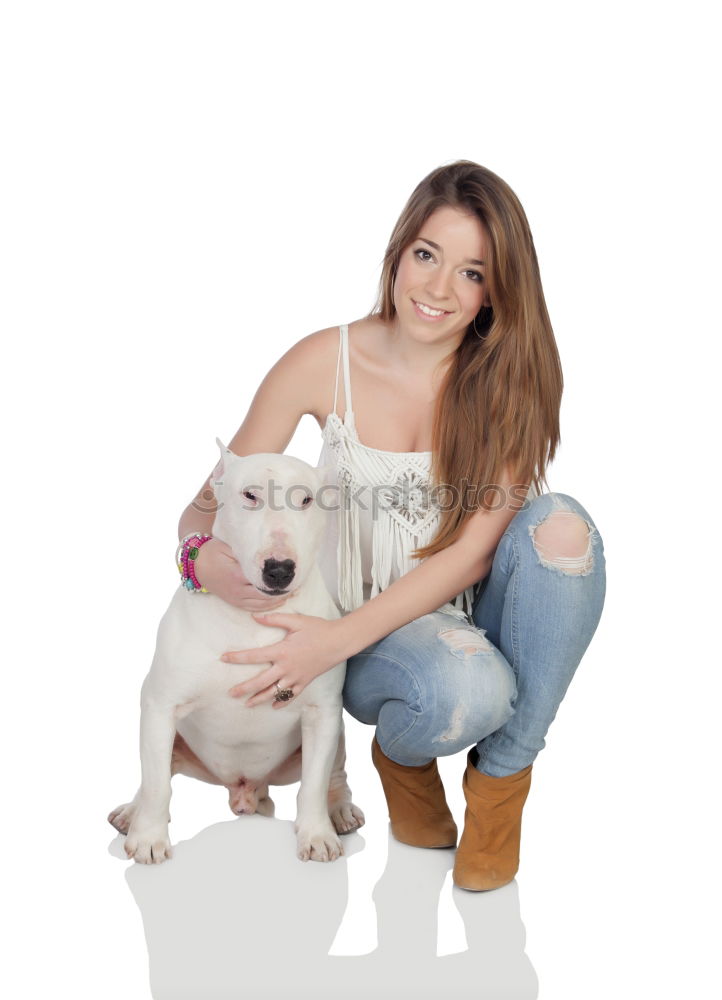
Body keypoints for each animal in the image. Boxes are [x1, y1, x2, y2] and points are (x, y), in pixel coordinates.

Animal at [107, 442, 362, 864]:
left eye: (307, 499)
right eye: (250, 495)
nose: (279, 569)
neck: (253, 621)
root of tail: (244, 790)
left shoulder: (322, 711)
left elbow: (312, 783)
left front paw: (316, 835)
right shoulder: (160, 704)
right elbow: (158, 783)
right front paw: (149, 840)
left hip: (335, 736)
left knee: (334, 774)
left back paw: (339, 810)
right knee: (153, 773)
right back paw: (132, 813)